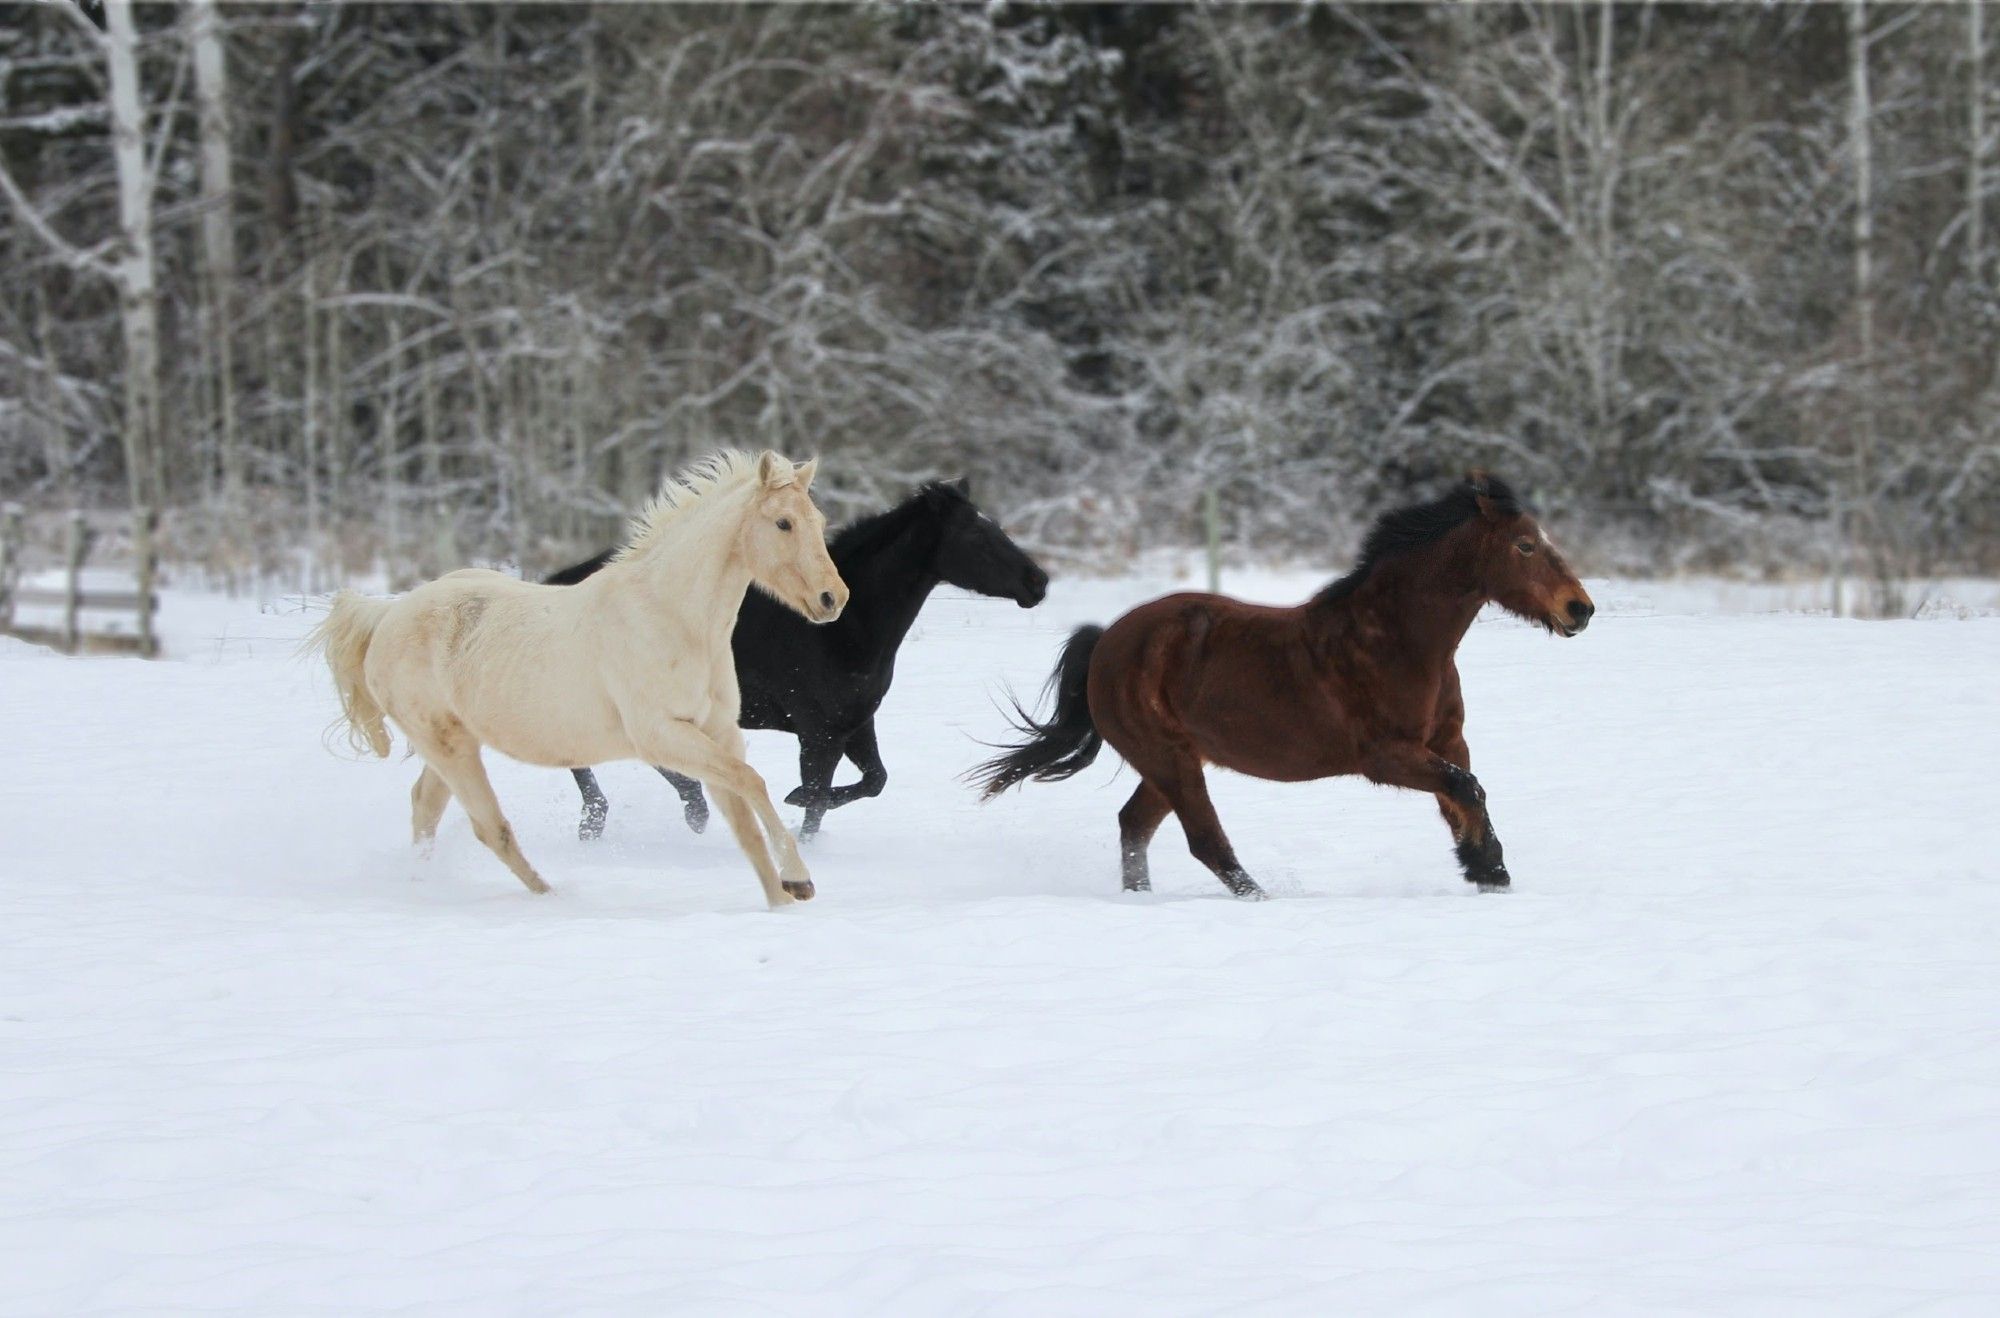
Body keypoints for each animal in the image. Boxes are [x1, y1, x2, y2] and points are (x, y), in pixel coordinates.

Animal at [308, 452, 848, 908]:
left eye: (818, 522)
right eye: (783, 523)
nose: (833, 598)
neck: (671, 618)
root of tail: (389, 616)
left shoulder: (718, 733)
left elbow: (745, 820)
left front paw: (783, 899)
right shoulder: (662, 737)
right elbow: (753, 783)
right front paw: (799, 881)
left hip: (452, 743)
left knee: (425, 807)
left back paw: (423, 884)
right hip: (448, 746)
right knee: (490, 827)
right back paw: (550, 898)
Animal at [548, 480, 1048, 840]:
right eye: (976, 534)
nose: (1038, 582)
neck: (844, 628)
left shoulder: (854, 725)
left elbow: (872, 781)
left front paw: (794, 806)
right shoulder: (817, 732)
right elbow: (817, 798)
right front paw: (795, 814)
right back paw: (603, 820)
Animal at [968, 480, 1592, 904]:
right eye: (1524, 546)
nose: (1579, 609)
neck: (1400, 641)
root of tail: (1106, 643)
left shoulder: (1446, 743)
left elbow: (1464, 796)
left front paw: (1487, 871)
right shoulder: (1387, 757)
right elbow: (1467, 789)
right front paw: (1489, 870)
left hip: (1172, 762)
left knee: (1134, 825)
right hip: (1170, 760)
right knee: (1204, 841)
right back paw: (1262, 898)